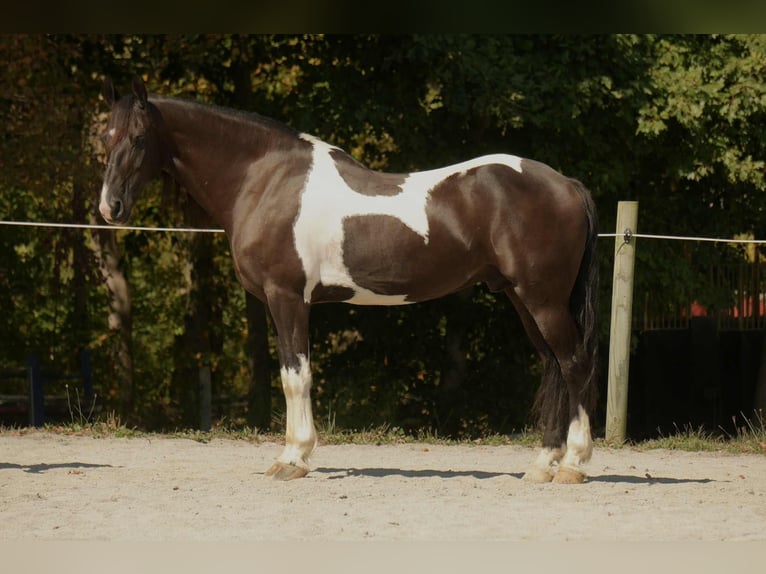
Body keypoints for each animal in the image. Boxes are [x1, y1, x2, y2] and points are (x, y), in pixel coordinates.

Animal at [98, 76, 599, 484]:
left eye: (139, 138)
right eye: (105, 136)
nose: (109, 207)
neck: (265, 180)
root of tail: (568, 184)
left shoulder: (287, 298)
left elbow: (296, 377)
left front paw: (293, 459)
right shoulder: (278, 303)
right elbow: (290, 372)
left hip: (543, 299)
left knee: (573, 363)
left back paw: (573, 465)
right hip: (521, 297)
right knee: (552, 365)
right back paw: (542, 465)